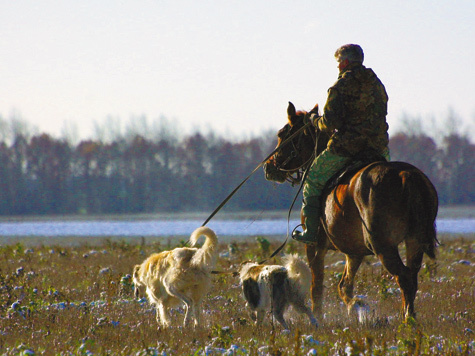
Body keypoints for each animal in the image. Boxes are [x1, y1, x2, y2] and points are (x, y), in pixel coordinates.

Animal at [264, 101, 438, 322]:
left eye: (282, 133)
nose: (268, 167)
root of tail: (406, 176)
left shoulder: (315, 246)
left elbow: (316, 286)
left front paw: (318, 318)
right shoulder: (354, 251)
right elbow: (344, 286)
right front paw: (356, 305)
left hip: (384, 246)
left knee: (404, 277)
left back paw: (408, 319)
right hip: (414, 241)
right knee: (412, 277)